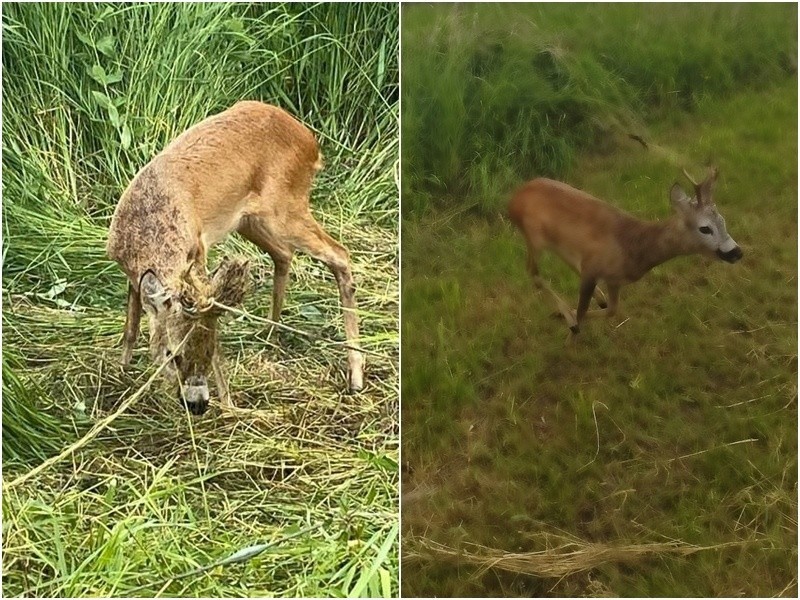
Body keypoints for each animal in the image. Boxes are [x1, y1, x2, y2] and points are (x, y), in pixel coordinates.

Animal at [108, 101, 364, 414]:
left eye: (207, 351)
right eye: (172, 354)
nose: (198, 404)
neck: (148, 226)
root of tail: (311, 143)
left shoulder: (198, 254)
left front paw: (228, 402)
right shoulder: (132, 274)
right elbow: (130, 326)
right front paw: (121, 373)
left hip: (285, 208)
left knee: (339, 253)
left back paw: (355, 375)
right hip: (250, 221)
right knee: (284, 254)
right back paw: (271, 336)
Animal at [510, 165, 740, 332]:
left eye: (723, 220)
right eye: (705, 228)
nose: (736, 252)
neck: (633, 245)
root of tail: (512, 200)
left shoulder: (613, 279)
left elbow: (612, 311)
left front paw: (572, 316)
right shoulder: (593, 270)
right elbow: (583, 311)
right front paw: (572, 327)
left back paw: (593, 300)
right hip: (533, 238)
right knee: (533, 272)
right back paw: (568, 315)